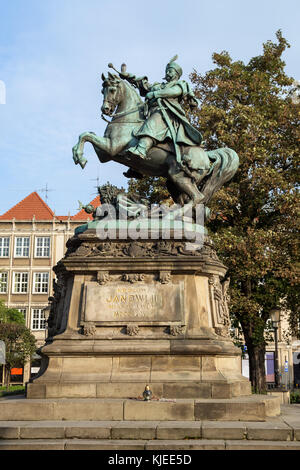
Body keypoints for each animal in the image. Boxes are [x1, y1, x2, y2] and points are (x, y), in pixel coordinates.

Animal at [72, 73, 239, 206]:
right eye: (102, 91)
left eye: (112, 90)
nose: (105, 109)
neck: (128, 119)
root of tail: (207, 156)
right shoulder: (105, 152)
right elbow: (85, 134)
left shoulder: (110, 149)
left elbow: (87, 136)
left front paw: (79, 157)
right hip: (173, 183)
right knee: (189, 200)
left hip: (180, 177)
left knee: (197, 198)